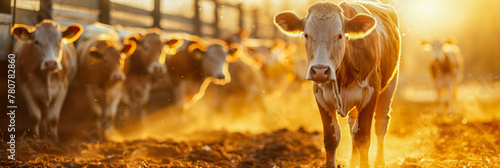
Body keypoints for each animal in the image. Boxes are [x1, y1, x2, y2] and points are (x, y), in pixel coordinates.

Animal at [274, 0, 402, 167]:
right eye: (306, 34)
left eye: (340, 35)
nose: (320, 70)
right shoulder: (320, 94)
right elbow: (331, 138)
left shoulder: (370, 93)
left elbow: (363, 137)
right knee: (353, 124)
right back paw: (353, 161)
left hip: (390, 84)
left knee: (381, 122)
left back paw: (379, 161)